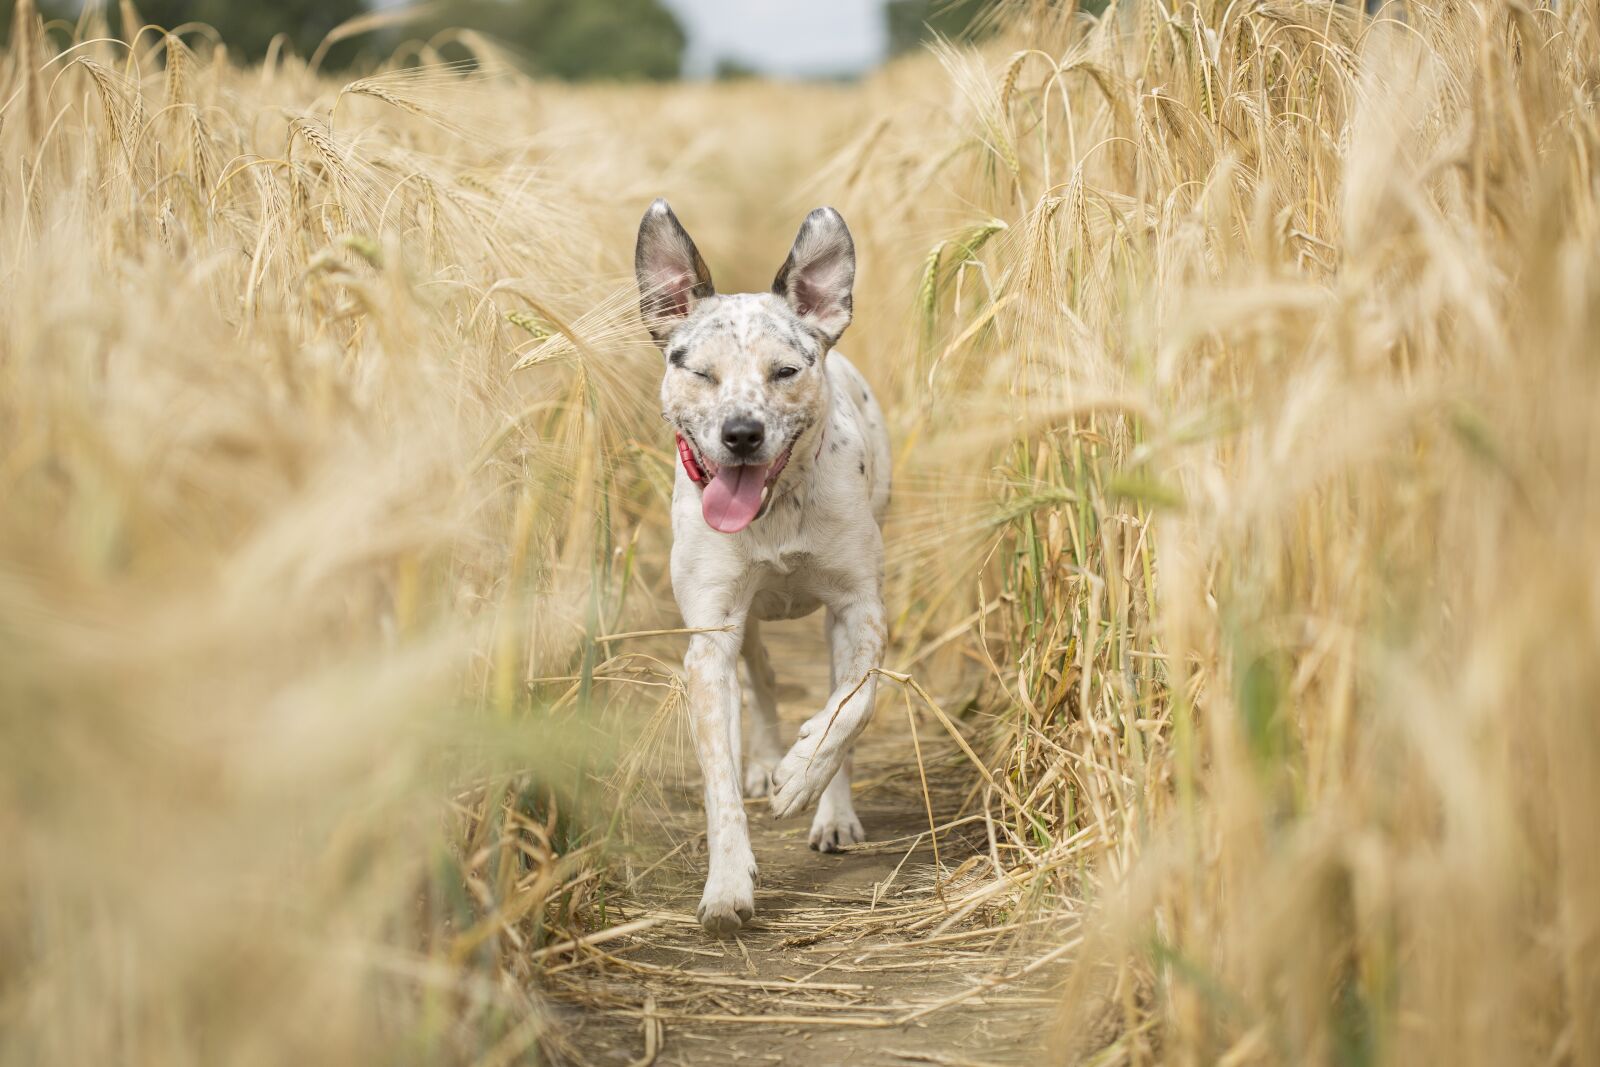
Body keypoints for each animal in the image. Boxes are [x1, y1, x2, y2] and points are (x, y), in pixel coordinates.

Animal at [633, 199, 889, 934]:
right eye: (700, 372)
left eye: (785, 371)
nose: (741, 432)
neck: (775, 511)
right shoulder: (711, 635)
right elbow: (718, 775)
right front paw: (726, 883)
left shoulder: (860, 608)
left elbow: (853, 704)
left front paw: (804, 775)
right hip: (742, 628)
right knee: (764, 680)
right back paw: (769, 759)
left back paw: (830, 809)